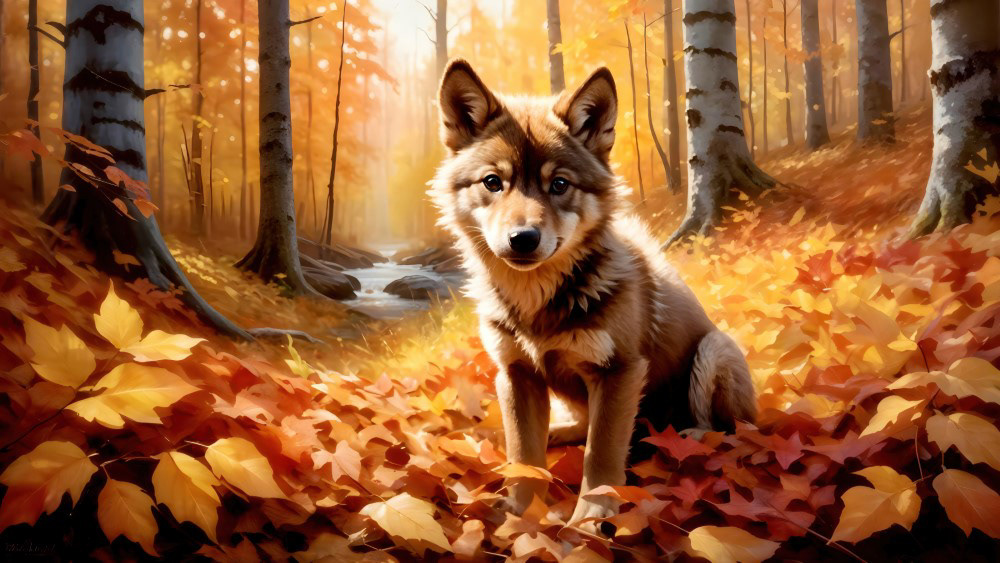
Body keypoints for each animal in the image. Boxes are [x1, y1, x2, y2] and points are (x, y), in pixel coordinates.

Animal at [430, 59, 757, 530]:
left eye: (559, 184)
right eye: (493, 182)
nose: (523, 239)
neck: (536, 302)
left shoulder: (619, 371)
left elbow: (600, 456)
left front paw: (590, 519)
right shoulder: (516, 374)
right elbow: (524, 456)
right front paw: (520, 515)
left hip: (713, 350)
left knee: (731, 428)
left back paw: (686, 437)